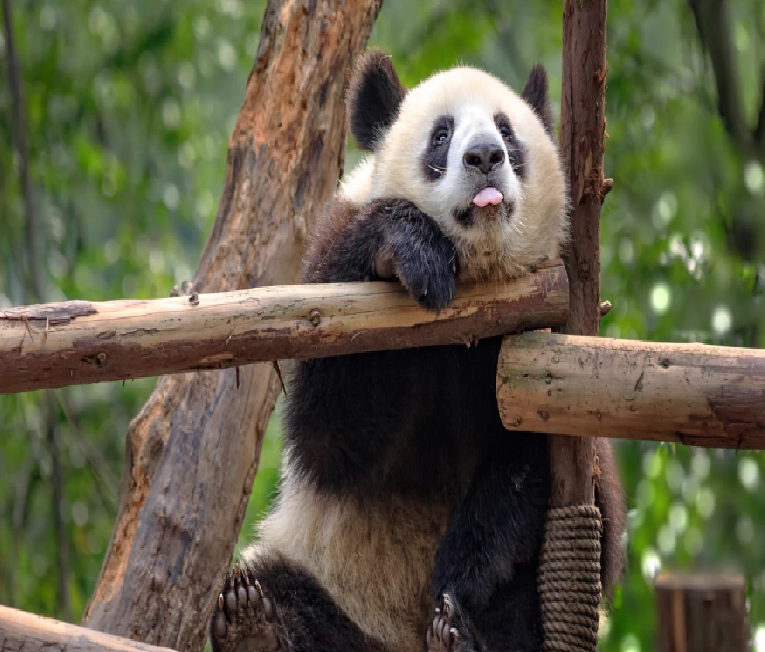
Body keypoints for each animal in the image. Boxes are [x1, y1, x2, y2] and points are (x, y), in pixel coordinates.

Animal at [209, 49, 626, 652]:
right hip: (335, 589)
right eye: (442, 135)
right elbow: (328, 436)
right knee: (283, 587)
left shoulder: (547, 345)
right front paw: (413, 251)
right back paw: (253, 621)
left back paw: (457, 634)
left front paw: (456, 574)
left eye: (507, 131)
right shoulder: (335, 282)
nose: (485, 156)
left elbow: (531, 465)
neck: (474, 285)